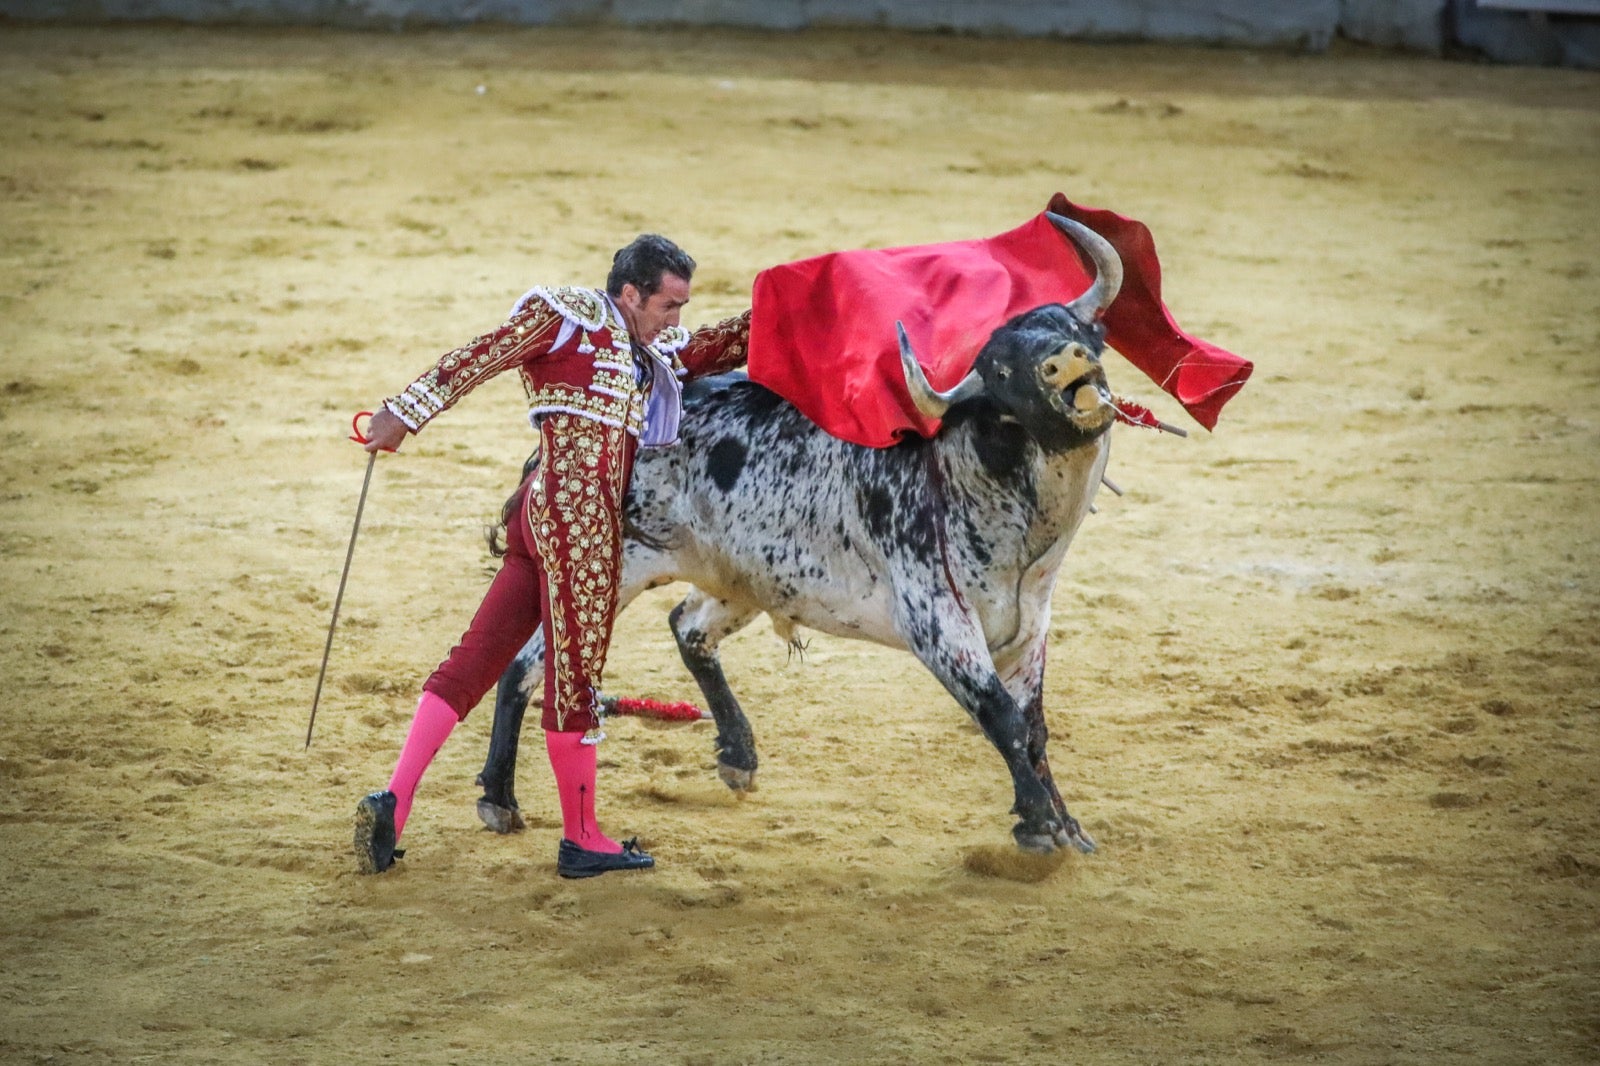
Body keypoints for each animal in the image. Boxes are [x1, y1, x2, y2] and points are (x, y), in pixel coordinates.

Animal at [470, 217, 1126, 857]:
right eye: (1001, 371)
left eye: (1071, 326)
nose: (1064, 362)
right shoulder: (939, 625)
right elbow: (1003, 721)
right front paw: (1040, 827)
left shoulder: (1029, 628)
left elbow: (1033, 730)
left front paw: (1069, 828)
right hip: (615, 568)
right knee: (527, 668)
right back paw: (499, 799)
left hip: (744, 578)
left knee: (688, 628)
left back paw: (738, 756)